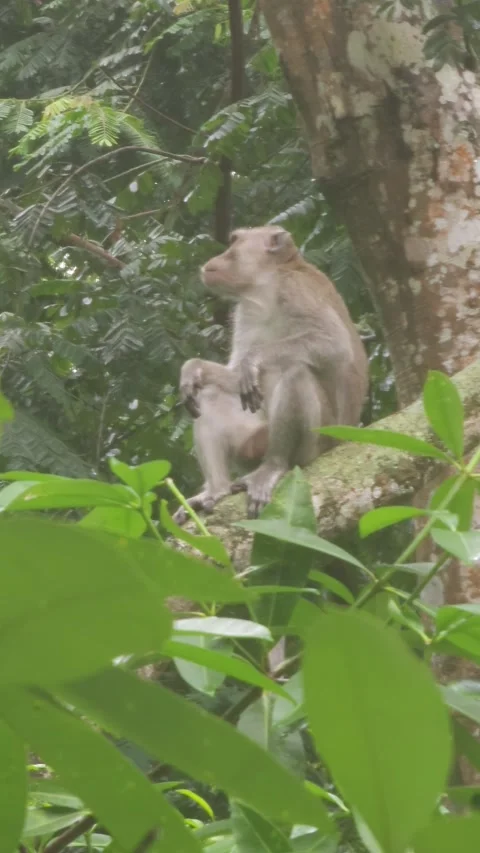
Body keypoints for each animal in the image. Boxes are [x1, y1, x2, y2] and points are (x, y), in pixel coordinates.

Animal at [173, 225, 368, 522]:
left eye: (233, 244)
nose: (214, 260)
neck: (267, 285)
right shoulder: (245, 311)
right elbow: (232, 374)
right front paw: (194, 369)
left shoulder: (297, 289)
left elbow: (334, 344)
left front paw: (253, 359)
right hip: (251, 442)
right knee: (210, 394)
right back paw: (217, 490)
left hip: (316, 443)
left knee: (296, 372)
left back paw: (274, 466)